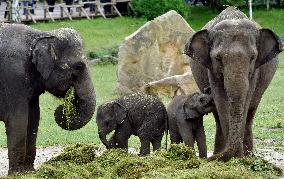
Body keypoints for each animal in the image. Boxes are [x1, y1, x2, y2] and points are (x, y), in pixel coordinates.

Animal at [0, 23, 96, 174]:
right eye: (79, 66)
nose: (61, 108)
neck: (42, 35)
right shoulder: (13, 77)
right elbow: (18, 119)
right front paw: (17, 174)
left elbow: (33, 118)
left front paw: (30, 172)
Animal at [184, 7, 282, 161]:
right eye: (218, 58)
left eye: (252, 57)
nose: (208, 159)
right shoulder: (212, 69)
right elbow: (220, 100)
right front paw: (230, 158)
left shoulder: (255, 70)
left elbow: (246, 98)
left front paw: (239, 158)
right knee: (217, 116)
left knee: (250, 113)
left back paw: (249, 156)